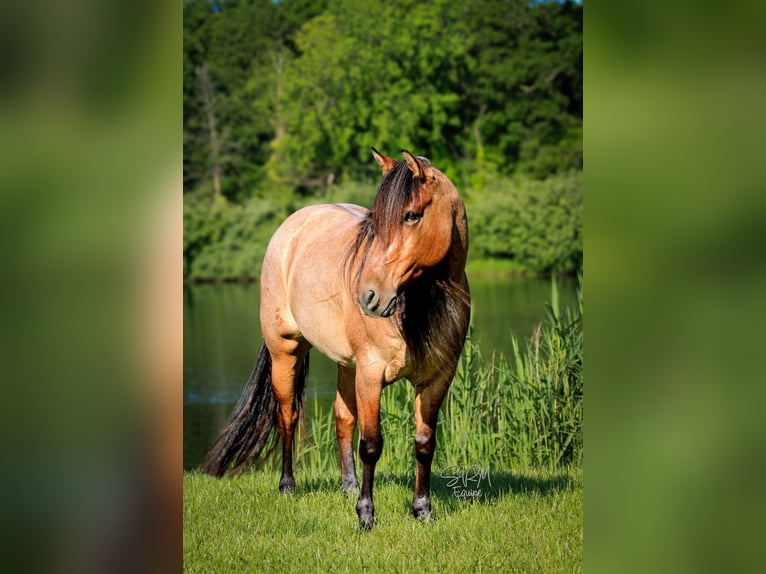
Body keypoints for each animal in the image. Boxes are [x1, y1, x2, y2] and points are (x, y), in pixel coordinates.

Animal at [202, 148, 471, 530]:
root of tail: (291, 225)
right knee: (288, 416)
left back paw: (348, 486)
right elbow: (371, 444)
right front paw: (366, 515)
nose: (368, 297)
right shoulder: (371, 374)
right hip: (287, 351)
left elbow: (424, 443)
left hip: (347, 365)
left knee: (343, 417)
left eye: (411, 215)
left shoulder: (437, 379)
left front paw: (422, 510)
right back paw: (288, 486)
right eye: (376, 221)